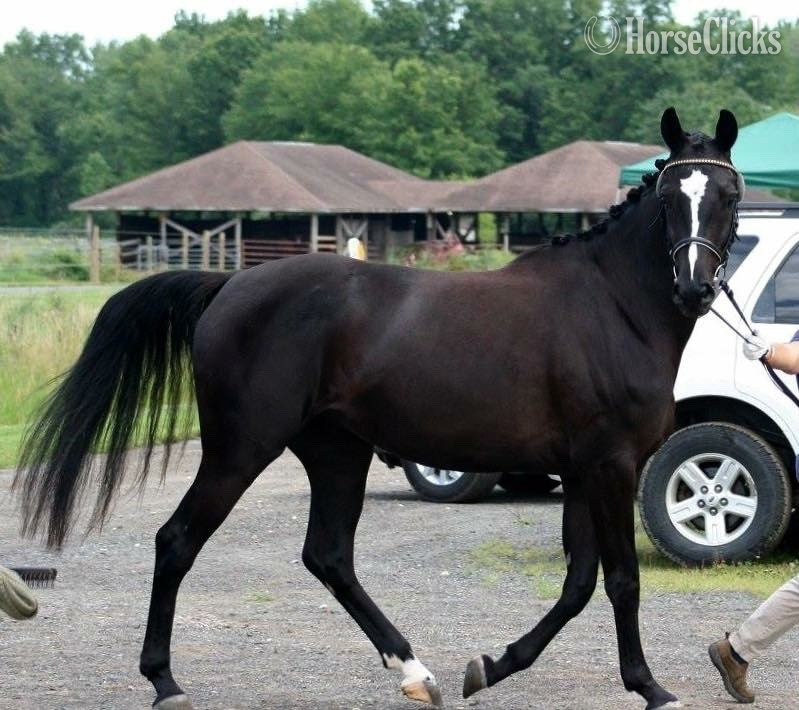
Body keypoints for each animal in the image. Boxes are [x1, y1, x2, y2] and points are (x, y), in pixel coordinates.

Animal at [15, 107, 742, 710]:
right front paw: (651, 688)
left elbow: (578, 584)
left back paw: (415, 673)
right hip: (240, 449)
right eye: (672, 197)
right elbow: (620, 580)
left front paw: (491, 666)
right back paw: (165, 682)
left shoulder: (585, 472)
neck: (612, 307)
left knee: (328, 556)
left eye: (727, 195)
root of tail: (229, 284)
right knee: (178, 541)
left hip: (336, 451)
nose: (694, 288)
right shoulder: (609, 467)